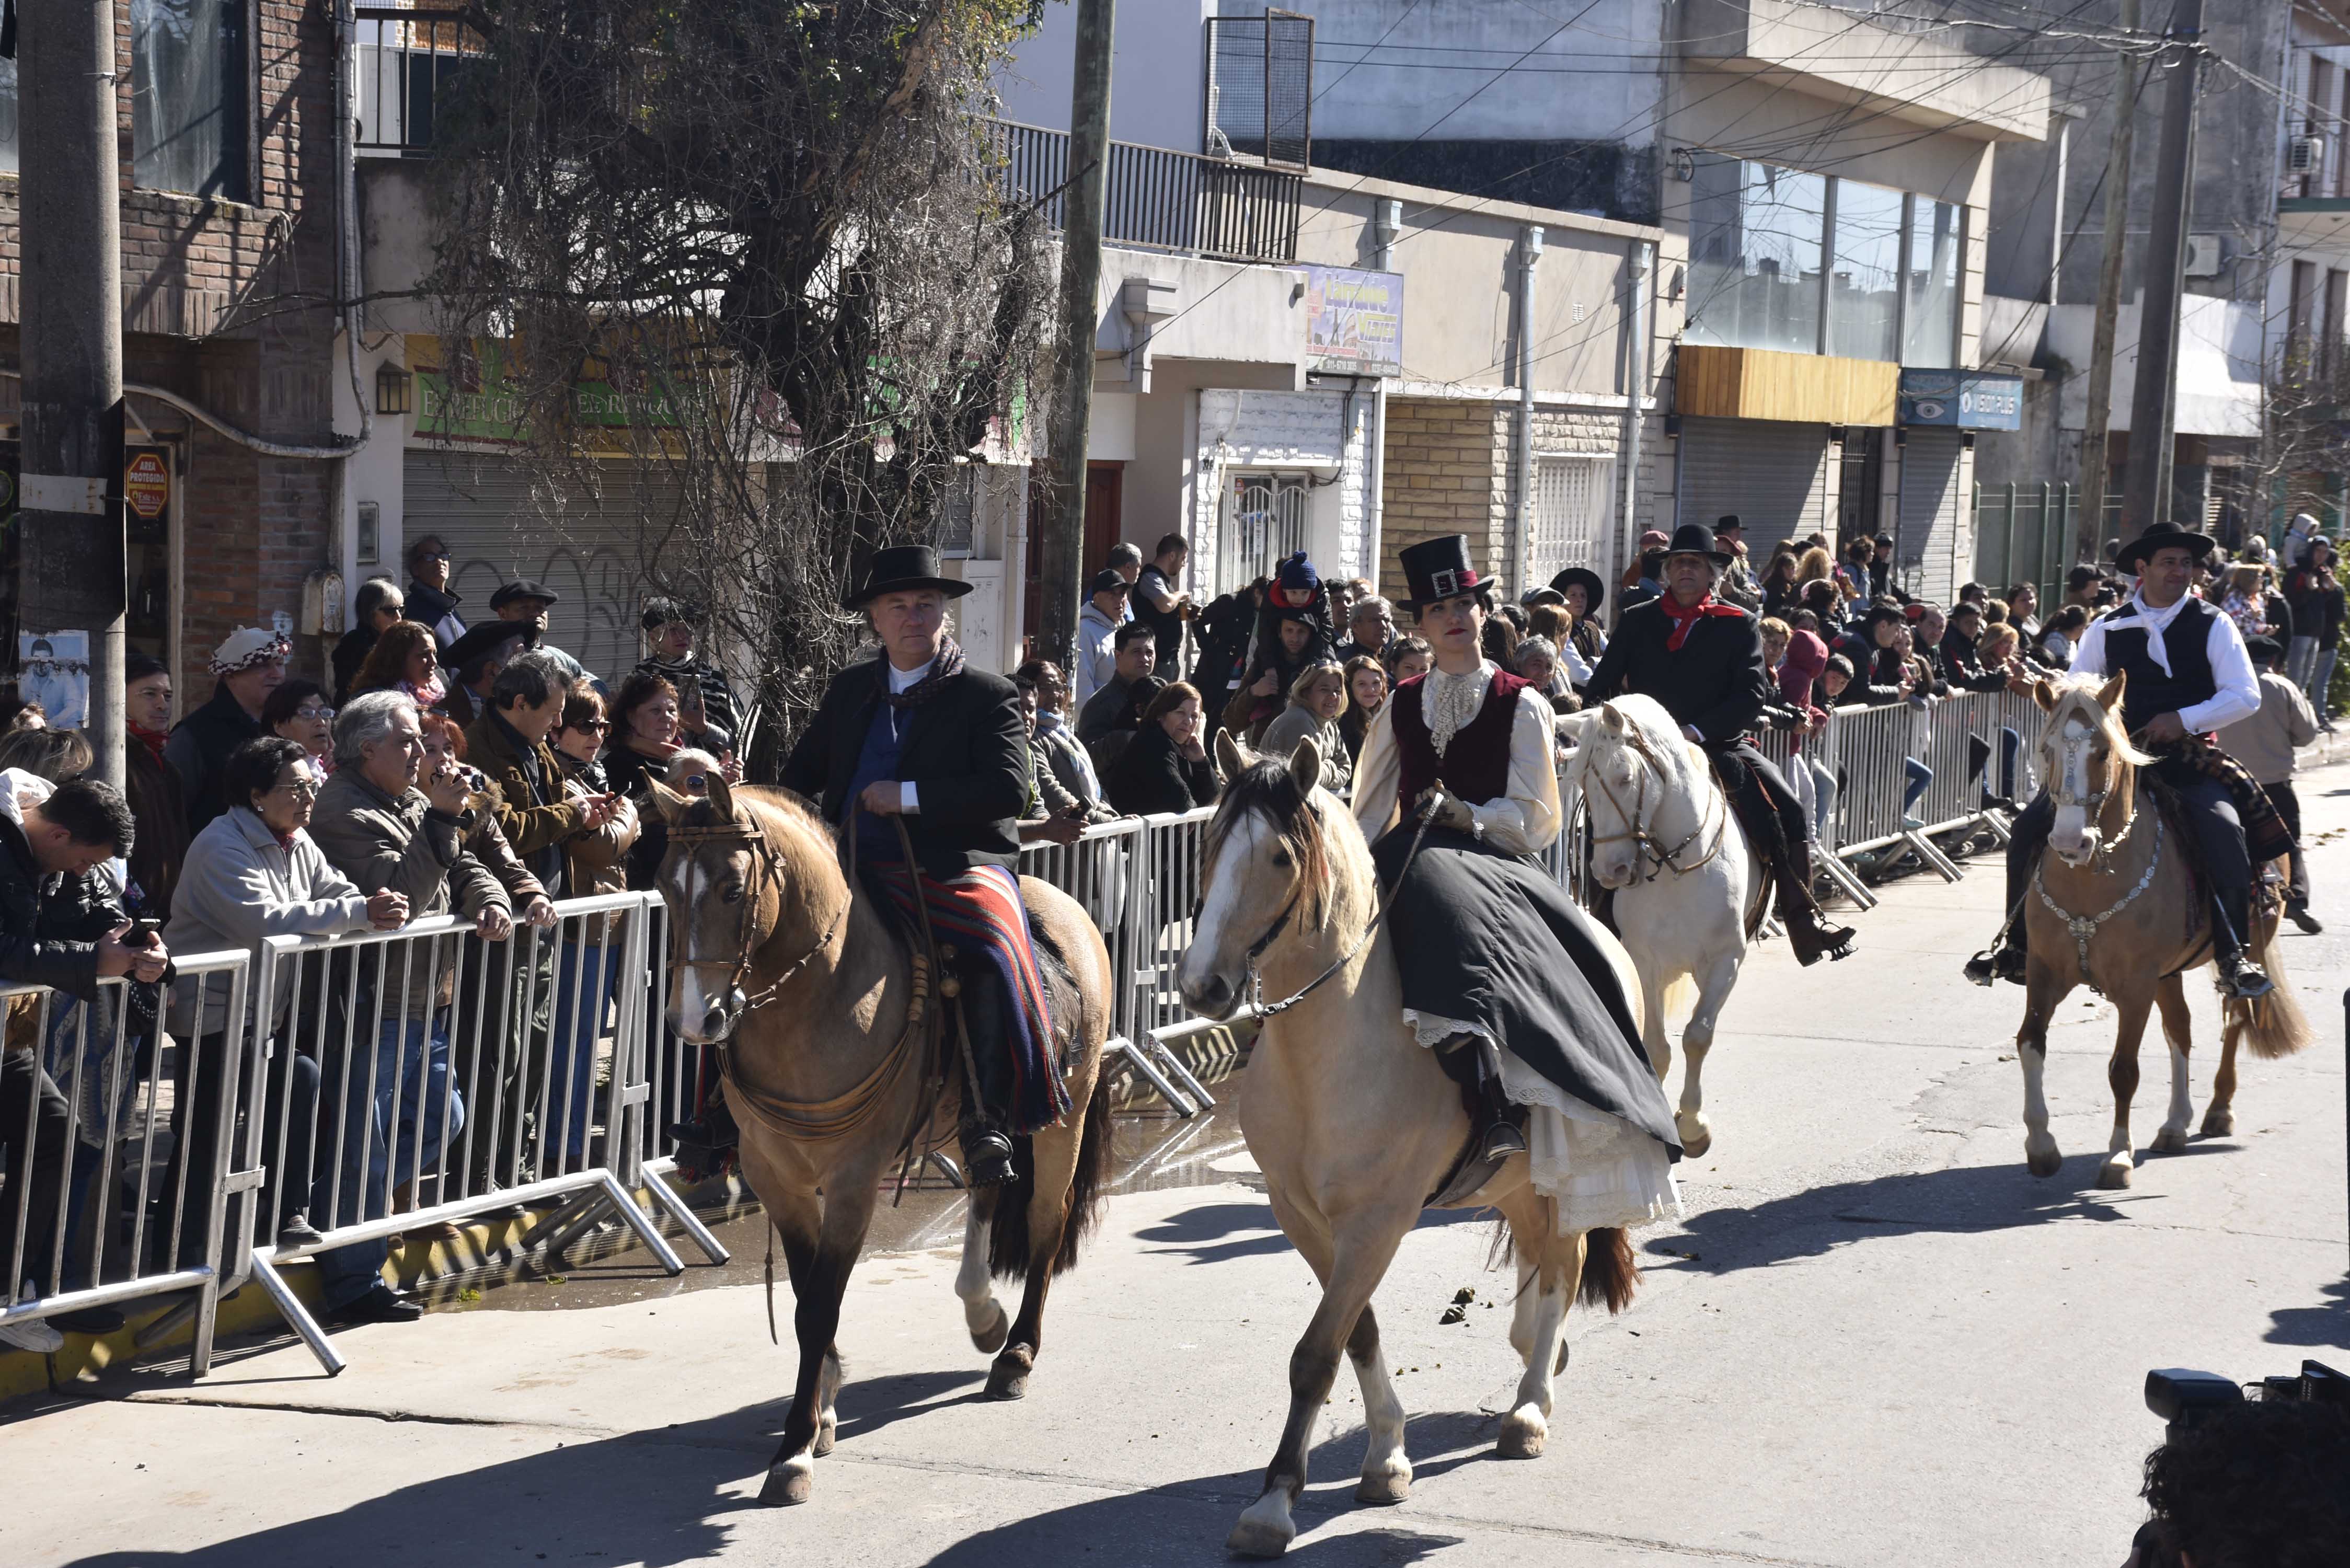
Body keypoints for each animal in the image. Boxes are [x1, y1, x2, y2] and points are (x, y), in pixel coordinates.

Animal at [648, 780, 1114, 1504]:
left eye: (731, 889)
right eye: (665, 887)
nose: (695, 1021)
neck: (817, 1002)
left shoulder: (852, 1180)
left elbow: (817, 1308)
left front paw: (795, 1449)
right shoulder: (775, 1175)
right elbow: (805, 1295)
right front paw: (824, 1406)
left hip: (1066, 1112)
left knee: (1046, 1220)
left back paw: (1016, 1353)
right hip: (981, 1121)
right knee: (986, 1186)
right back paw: (982, 1313)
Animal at [1175, 738, 1635, 1561]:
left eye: (1280, 858)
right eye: (1209, 846)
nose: (1201, 989)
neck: (1330, 1055)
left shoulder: (1377, 1221)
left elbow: (1315, 1354)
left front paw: (1272, 1504)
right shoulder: (1302, 1217)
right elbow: (1355, 1332)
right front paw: (1386, 1456)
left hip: (1567, 1167)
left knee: (1565, 1260)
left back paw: (1530, 1407)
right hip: (1514, 1180)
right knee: (1539, 1253)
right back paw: (1534, 1354)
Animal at [1570, 691, 1758, 1161]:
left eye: (1622, 778)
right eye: (1581, 782)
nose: (1610, 872)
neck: (1677, 867)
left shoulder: (1725, 960)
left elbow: (1697, 1037)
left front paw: (1692, 1127)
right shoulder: (1644, 962)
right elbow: (1656, 1048)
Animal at [2002, 677, 2312, 1189]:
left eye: (2104, 751)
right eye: (2046, 749)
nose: (2069, 842)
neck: (2090, 882)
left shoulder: (2135, 986)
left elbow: (2123, 1070)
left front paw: (2117, 1156)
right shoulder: (2045, 974)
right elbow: (2030, 1043)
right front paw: (2041, 1146)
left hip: (2245, 946)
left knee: (2234, 1020)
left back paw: (2218, 1109)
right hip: (2169, 974)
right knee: (2180, 1030)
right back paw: (2174, 1124)